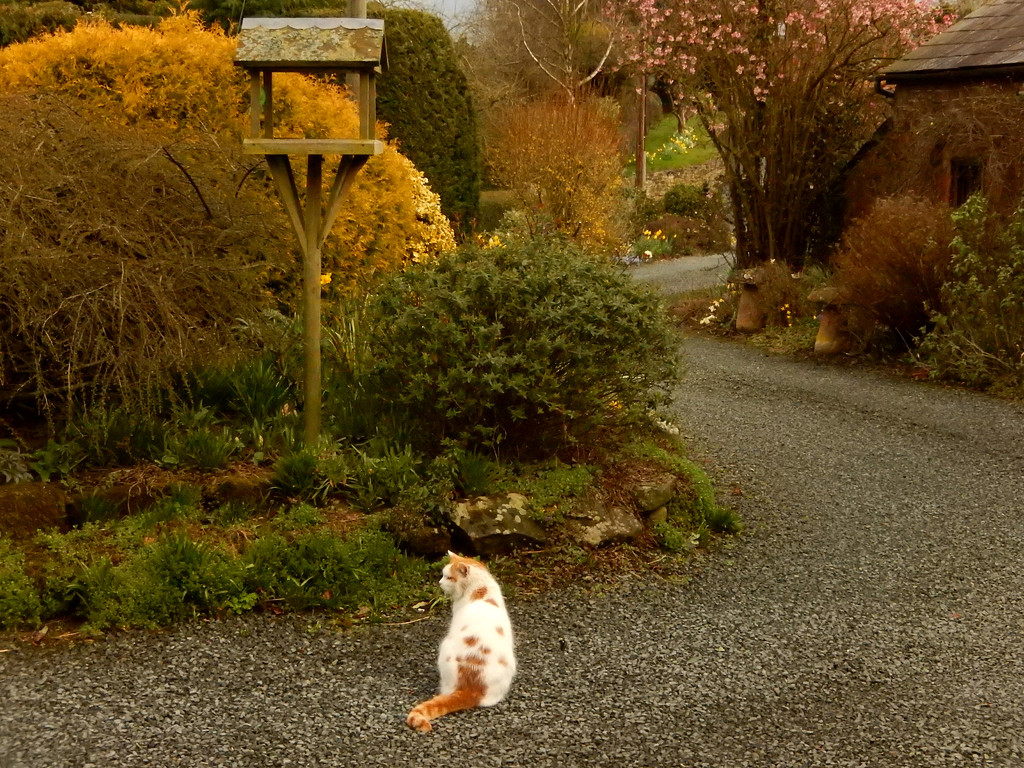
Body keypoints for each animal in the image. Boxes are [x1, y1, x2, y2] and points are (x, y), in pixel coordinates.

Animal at [405, 552, 516, 733]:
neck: (481, 589)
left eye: (448, 577)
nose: (439, 583)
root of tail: (471, 689)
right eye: (443, 575)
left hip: (444, 648)